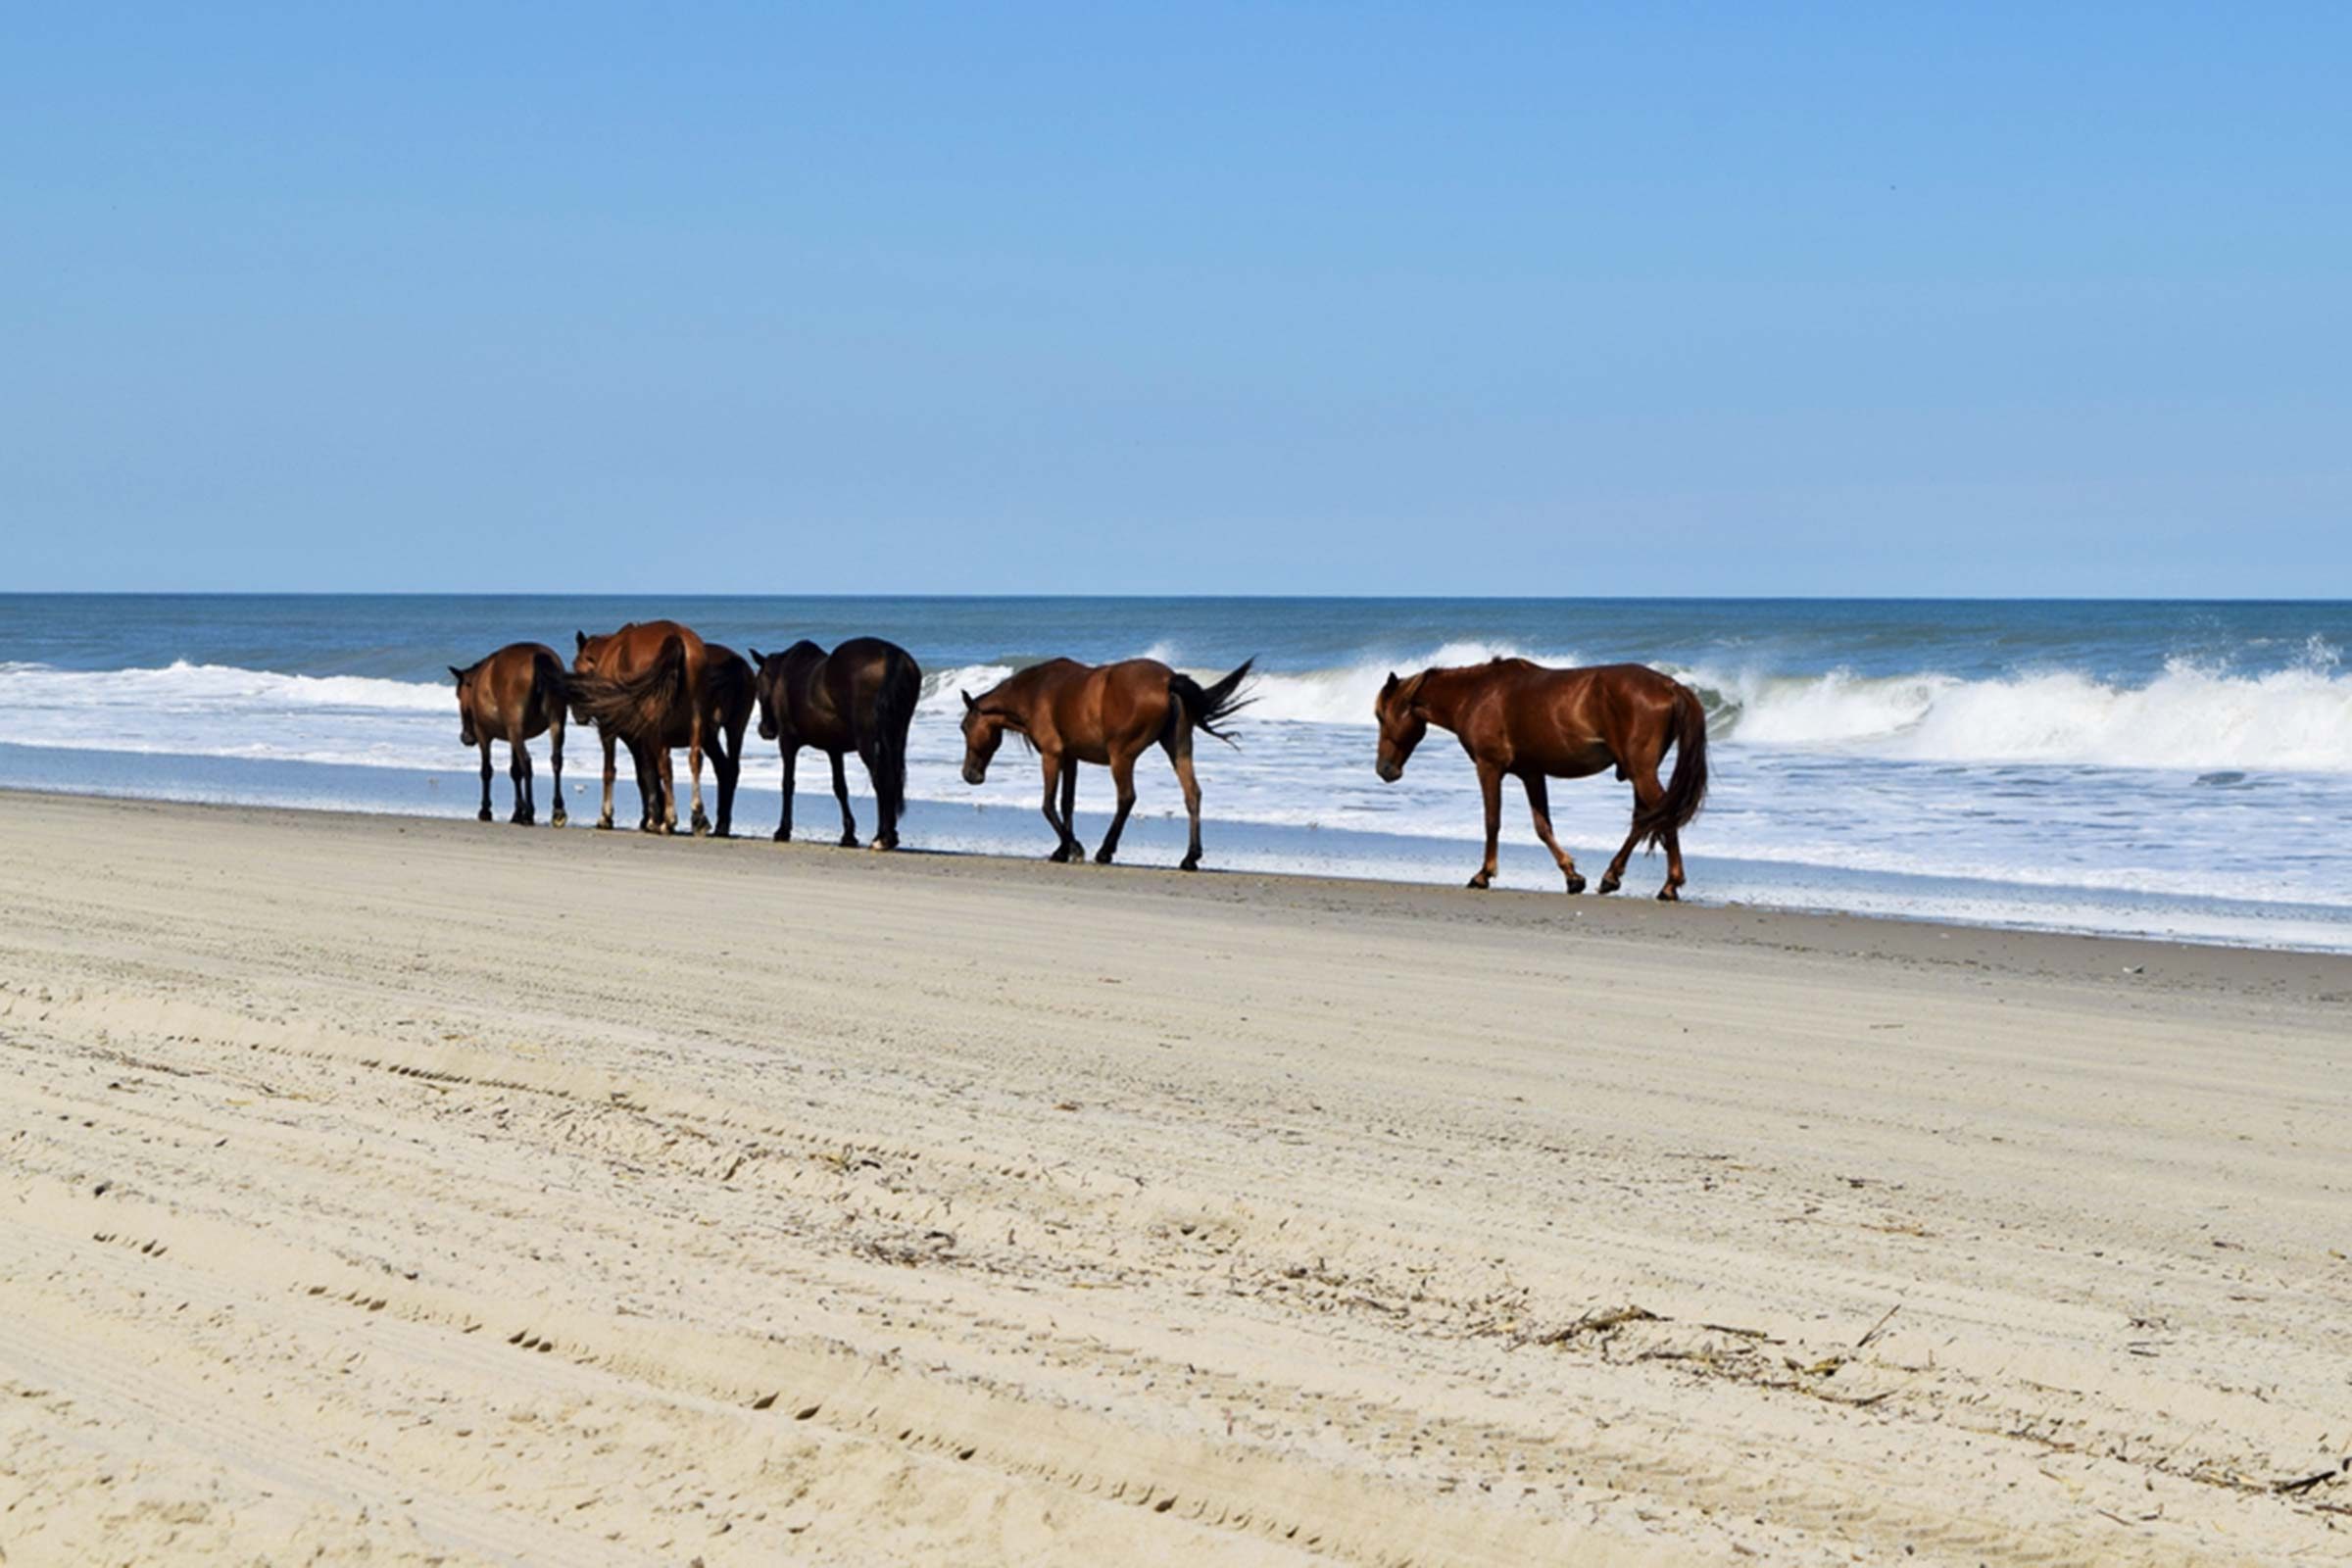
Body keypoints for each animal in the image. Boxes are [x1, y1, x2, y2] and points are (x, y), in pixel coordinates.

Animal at [449, 642, 569, 827]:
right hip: (555, 724)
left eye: (458, 694)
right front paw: (516, 813)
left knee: (527, 763)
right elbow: (515, 772)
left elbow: (487, 771)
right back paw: (557, 810)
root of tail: (538, 656)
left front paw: (486, 810)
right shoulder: (513, 737)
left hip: (516, 730)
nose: (466, 738)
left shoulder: (484, 734)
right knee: (556, 760)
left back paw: (529, 812)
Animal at [570, 623, 752, 835]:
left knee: (667, 765)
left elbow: (620, 771)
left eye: (577, 670)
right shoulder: (641, 737)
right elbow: (647, 772)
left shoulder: (615, 731)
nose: (577, 714)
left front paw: (612, 817)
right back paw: (704, 819)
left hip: (660, 729)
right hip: (717, 727)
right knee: (706, 763)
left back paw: (671, 819)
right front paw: (653, 816)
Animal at [747, 638, 922, 849]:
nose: (765, 730)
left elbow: (788, 784)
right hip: (896, 738)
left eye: (757, 686)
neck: (785, 675)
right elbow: (840, 788)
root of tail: (890, 655)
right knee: (892, 779)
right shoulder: (834, 749)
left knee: (881, 780)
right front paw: (848, 834)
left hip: (868, 743)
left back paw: (883, 837)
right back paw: (889, 834)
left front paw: (783, 830)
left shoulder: (787, 742)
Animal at [959, 657, 1254, 870]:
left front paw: (1073, 848)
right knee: (1192, 793)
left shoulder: (1052, 756)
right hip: (1178, 749)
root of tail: (1168, 679)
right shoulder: (1070, 758)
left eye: (964, 727)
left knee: (1126, 798)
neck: (1035, 692)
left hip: (1121, 757)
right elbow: (1066, 803)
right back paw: (1190, 857)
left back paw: (1105, 851)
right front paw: (1062, 850)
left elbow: (1048, 804)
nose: (969, 775)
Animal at [1372, 657, 1708, 900]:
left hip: (1641, 771)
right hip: (1638, 772)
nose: (1385, 770)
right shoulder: (1532, 774)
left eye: (1380, 716)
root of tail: (1671, 686)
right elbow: (1542, 827)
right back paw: (1611, 877)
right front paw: (1572, 877)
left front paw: (1483, 874)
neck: (1477, 694)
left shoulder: (1488, 767)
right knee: (1645, 819)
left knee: (1662, 816)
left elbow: (1492, 821)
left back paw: (1669, 885)